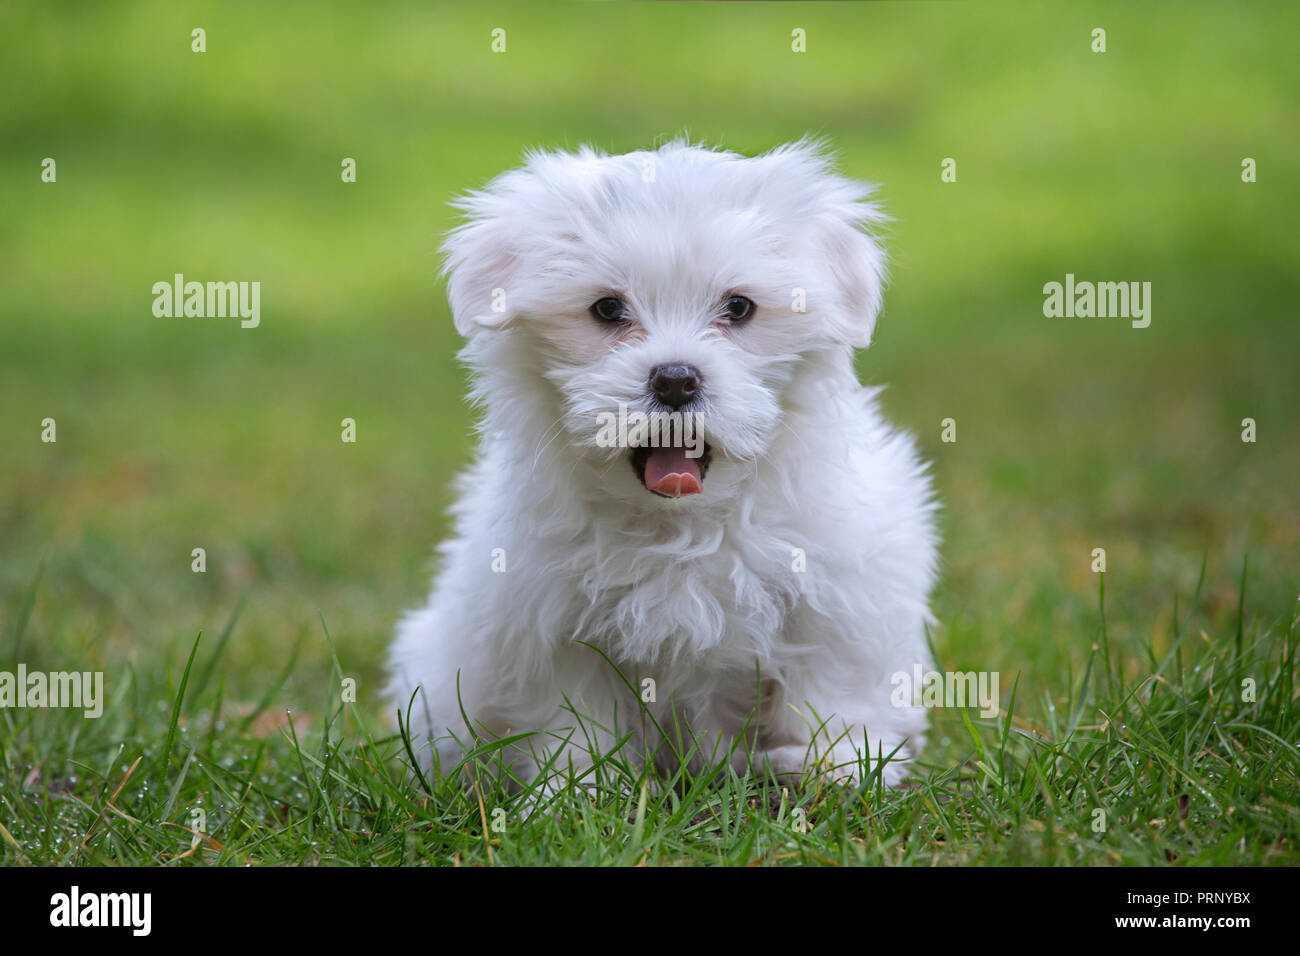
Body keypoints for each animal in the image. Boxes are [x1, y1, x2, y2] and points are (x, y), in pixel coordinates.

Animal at [390, 136, 941, 790]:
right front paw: (575, 788)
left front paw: (835, 764)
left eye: (739, 307)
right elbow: (574, 712)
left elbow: (832, 680)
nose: (676, 378)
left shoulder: (841, 588)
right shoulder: (549, 619)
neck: (682, 525)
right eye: (607, 309)